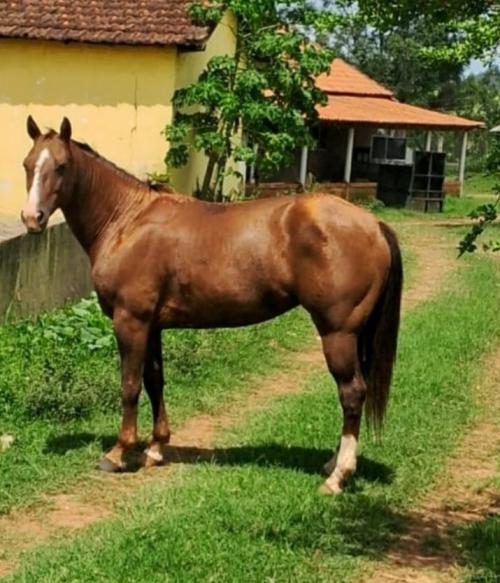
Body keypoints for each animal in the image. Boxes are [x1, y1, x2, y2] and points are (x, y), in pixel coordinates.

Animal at [22, 117, 402, 492]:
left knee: (351, 392)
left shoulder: (130, 321)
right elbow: (154, 381)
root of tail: (374, 225)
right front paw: (155, 448)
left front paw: (117, 453)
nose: (31, 218)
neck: (127, 222)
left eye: (61, 166)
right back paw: (332, 463)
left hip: (338, 332)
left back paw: (338, 476)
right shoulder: (152, 326)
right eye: (28, 164)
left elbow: (129, 385)